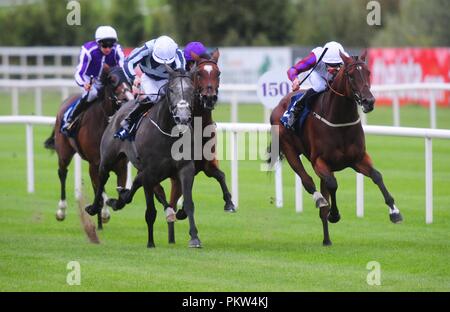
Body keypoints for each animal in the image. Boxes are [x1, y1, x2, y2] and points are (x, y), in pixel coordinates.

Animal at [44, 65, 134, 229]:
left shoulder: (121, 166)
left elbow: (120, 196)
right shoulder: (95, 164)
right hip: (64, 152)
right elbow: (99, 188)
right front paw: (100, 212)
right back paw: (61, 211)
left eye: (129, 78)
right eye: (112, 80)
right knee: (62, 173)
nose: (127, 99)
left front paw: (103, 212)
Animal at [268, 50, 402, 246]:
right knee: (308, 182)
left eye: (368, 72)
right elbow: (333, 184)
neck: (340, 121)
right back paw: (320, 201)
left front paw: (394, 212)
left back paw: (327, 240)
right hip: (290, 150)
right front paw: (334, 214)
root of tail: (279, 104)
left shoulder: (358, 159)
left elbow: (377, 176)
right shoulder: (319, 161)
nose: (369, 101)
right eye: (350, 75)